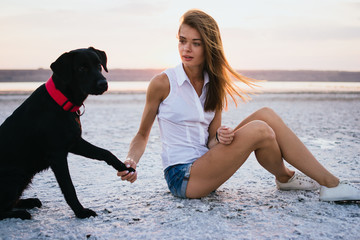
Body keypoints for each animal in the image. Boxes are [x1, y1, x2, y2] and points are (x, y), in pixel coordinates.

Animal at [0, 46, 135, 219]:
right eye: (81, 68)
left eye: (99, 65)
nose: (103, 83)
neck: (62, 102)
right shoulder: (57, 155)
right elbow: (69, 188)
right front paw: (81, 212)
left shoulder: (75, 142)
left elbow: (104, 152)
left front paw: (124, 167)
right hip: (16, 176)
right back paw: (21, 213)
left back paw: (29, 202)